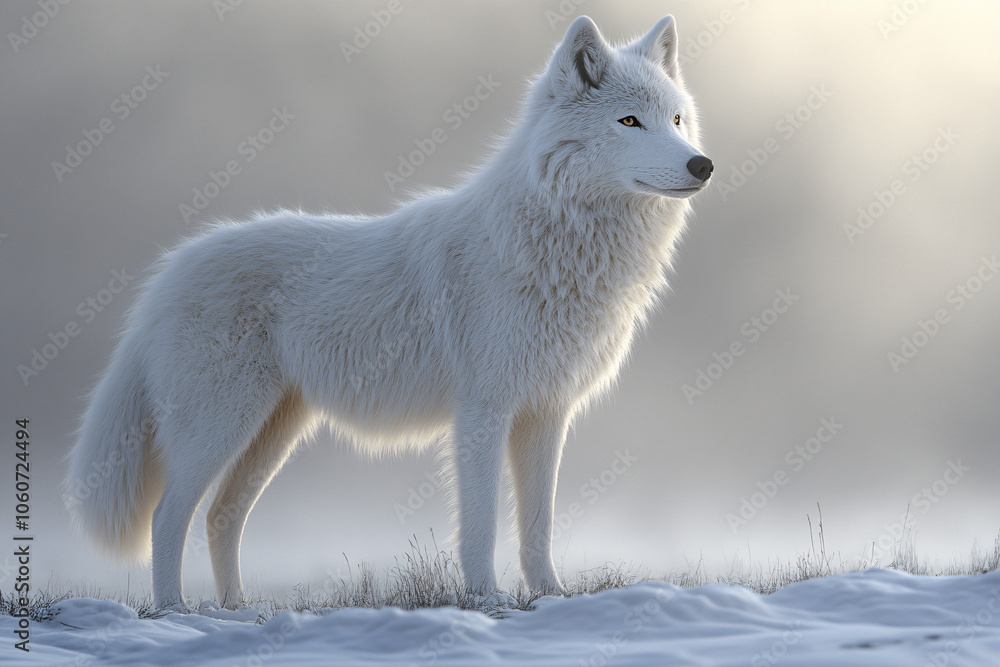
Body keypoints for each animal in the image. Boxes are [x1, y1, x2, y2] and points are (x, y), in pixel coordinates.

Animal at [66, 15, 712, 609]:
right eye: (629, 121)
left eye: (677, 121)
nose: (701, 165)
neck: (559, 250)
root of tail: (165, 276)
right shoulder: (483, 411)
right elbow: (482, 524)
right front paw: (486, 601)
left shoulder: (546, 414)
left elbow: (539, 528)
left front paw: (551, 598)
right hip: (219, 428)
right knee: (168, 518)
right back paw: (173, 613)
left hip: (271, 435)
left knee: (220, 517)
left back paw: (238, 612)